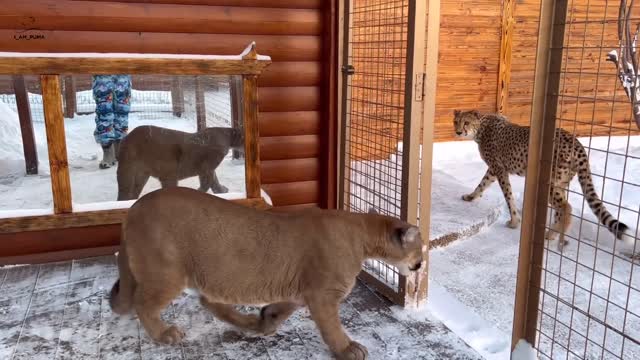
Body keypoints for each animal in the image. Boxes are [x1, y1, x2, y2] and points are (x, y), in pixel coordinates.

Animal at [456, 109, 632, 250]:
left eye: (466, 122)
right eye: (456, 121)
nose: (458, 132)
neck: (482, 126)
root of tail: (577, 143)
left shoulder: (499, 169)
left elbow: (508, 195)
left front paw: (514, 222)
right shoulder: (494, 170)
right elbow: (482, 184)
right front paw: (471, 197)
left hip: (550, 183)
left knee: (566, 208)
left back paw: (555, 236)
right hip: (561, 183)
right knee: (561, 209)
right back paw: (552, 234)